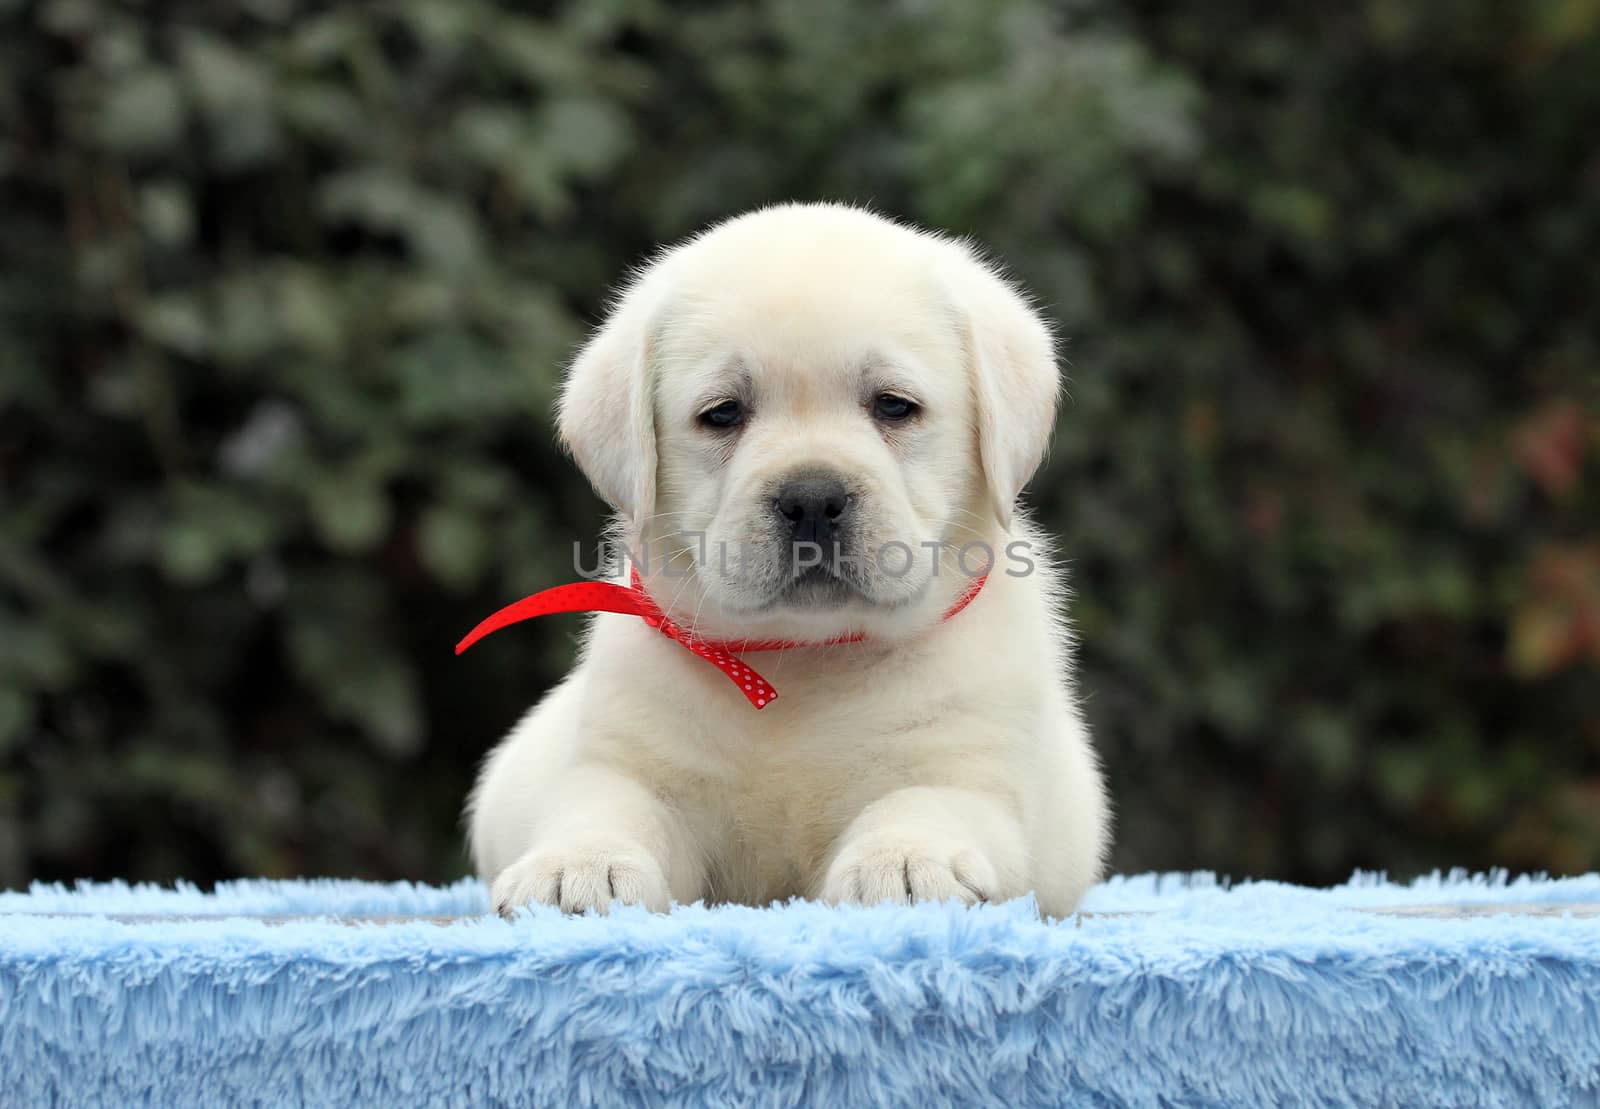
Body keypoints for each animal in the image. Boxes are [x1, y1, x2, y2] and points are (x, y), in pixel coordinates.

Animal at [467, 203, 1107, 915]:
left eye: (894, 405)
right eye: (722, 414)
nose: (812, 499)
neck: (804, 661)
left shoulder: (967, 771)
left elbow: (920, 805)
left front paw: (905, 862)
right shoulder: (630, 765)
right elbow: (608, 808)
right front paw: (578, 866)